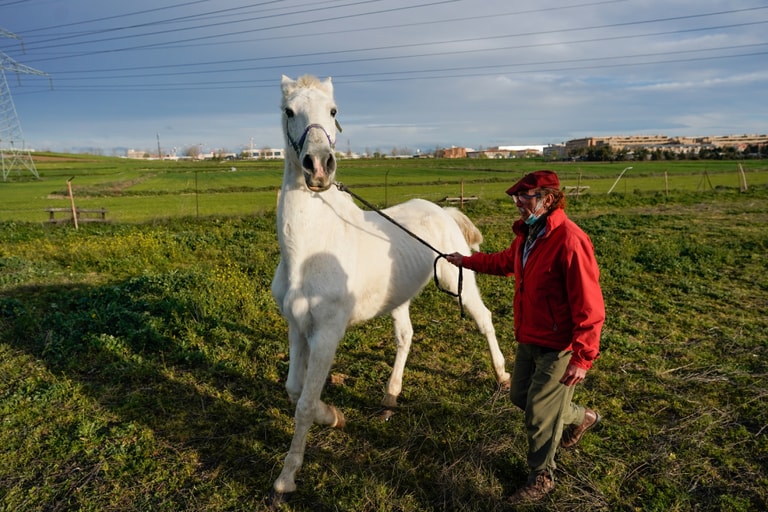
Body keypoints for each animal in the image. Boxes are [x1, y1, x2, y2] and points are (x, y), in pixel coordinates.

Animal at [270, 74, 510, 498]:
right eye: (289, 110)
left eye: (333, 110)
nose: (319, 167)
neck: (309, 251)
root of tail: (442, 210)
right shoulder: (297, 327)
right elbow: (295, 389)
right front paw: (335, 417)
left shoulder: (327, 333)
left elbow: (305, 403)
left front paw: (288, 476)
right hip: (398, 298)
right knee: (405, 336)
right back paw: (389, 396)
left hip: (459, 282)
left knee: (484, 320)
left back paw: (502, 377)